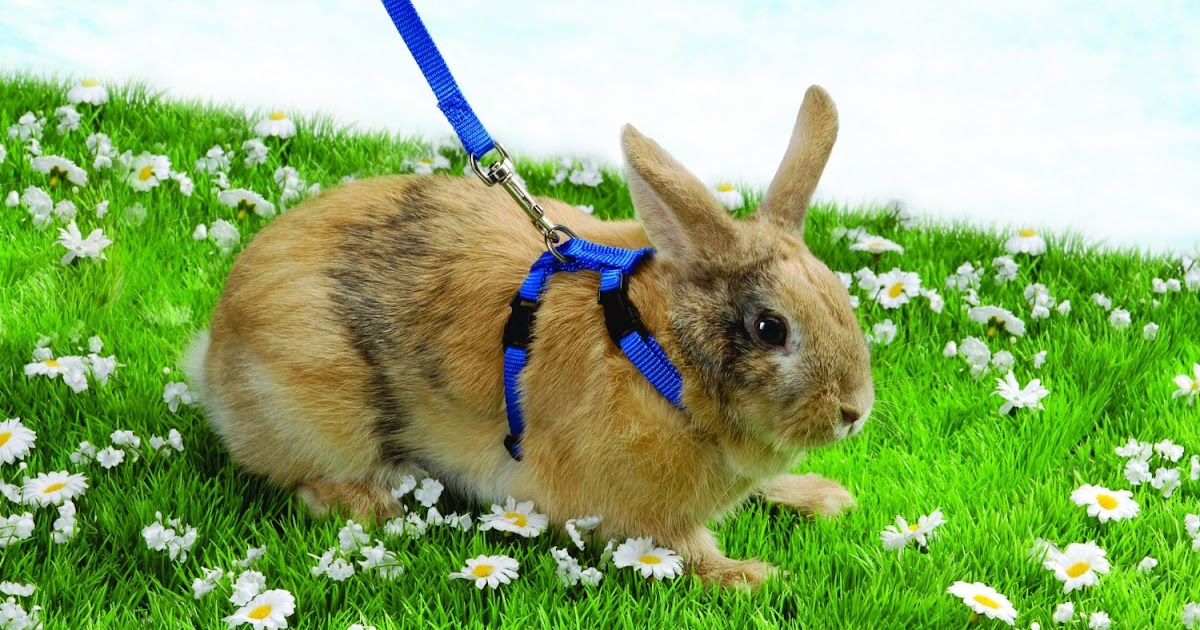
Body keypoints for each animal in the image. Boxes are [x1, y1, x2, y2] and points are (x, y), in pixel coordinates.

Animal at [184, 84, 873, 587]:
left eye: (838, 298)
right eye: (770, 328)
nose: (854, 412)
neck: (660, 355)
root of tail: (214, 352)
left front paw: (825, 498)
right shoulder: (636, 511)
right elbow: (686, 549)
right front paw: (752, 577)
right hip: (325, 415)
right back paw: (379, 506)